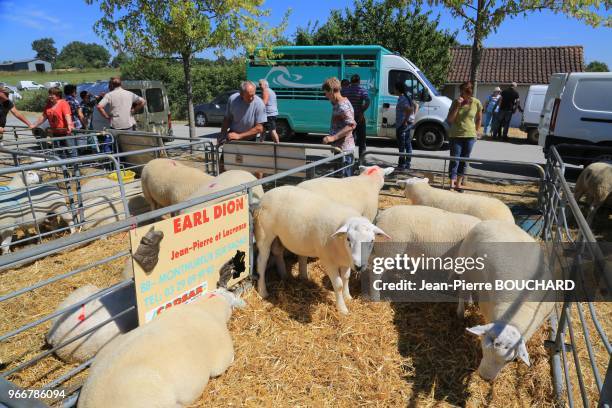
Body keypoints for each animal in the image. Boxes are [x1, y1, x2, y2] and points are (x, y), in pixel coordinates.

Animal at [252, 186, 388, 316]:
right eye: (348, 239)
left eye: (372, 240)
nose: (359, 266)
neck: (340, 243)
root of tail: (266, 195)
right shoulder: (328, 260)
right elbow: (338, 285)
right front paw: (342, 308)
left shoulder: (346, 260)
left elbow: (346, 278)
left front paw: (348, 296)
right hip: (264, 234)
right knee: (261, 262)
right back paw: (263, 291)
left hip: (278, 237)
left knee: (277, 252)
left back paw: (284, 275)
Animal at [454, 222, 556, 380]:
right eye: (483, 349)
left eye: (510, 360)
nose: (485, 377)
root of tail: (491, 222)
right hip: (463, 262)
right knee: (462, 287)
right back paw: (461, 311)